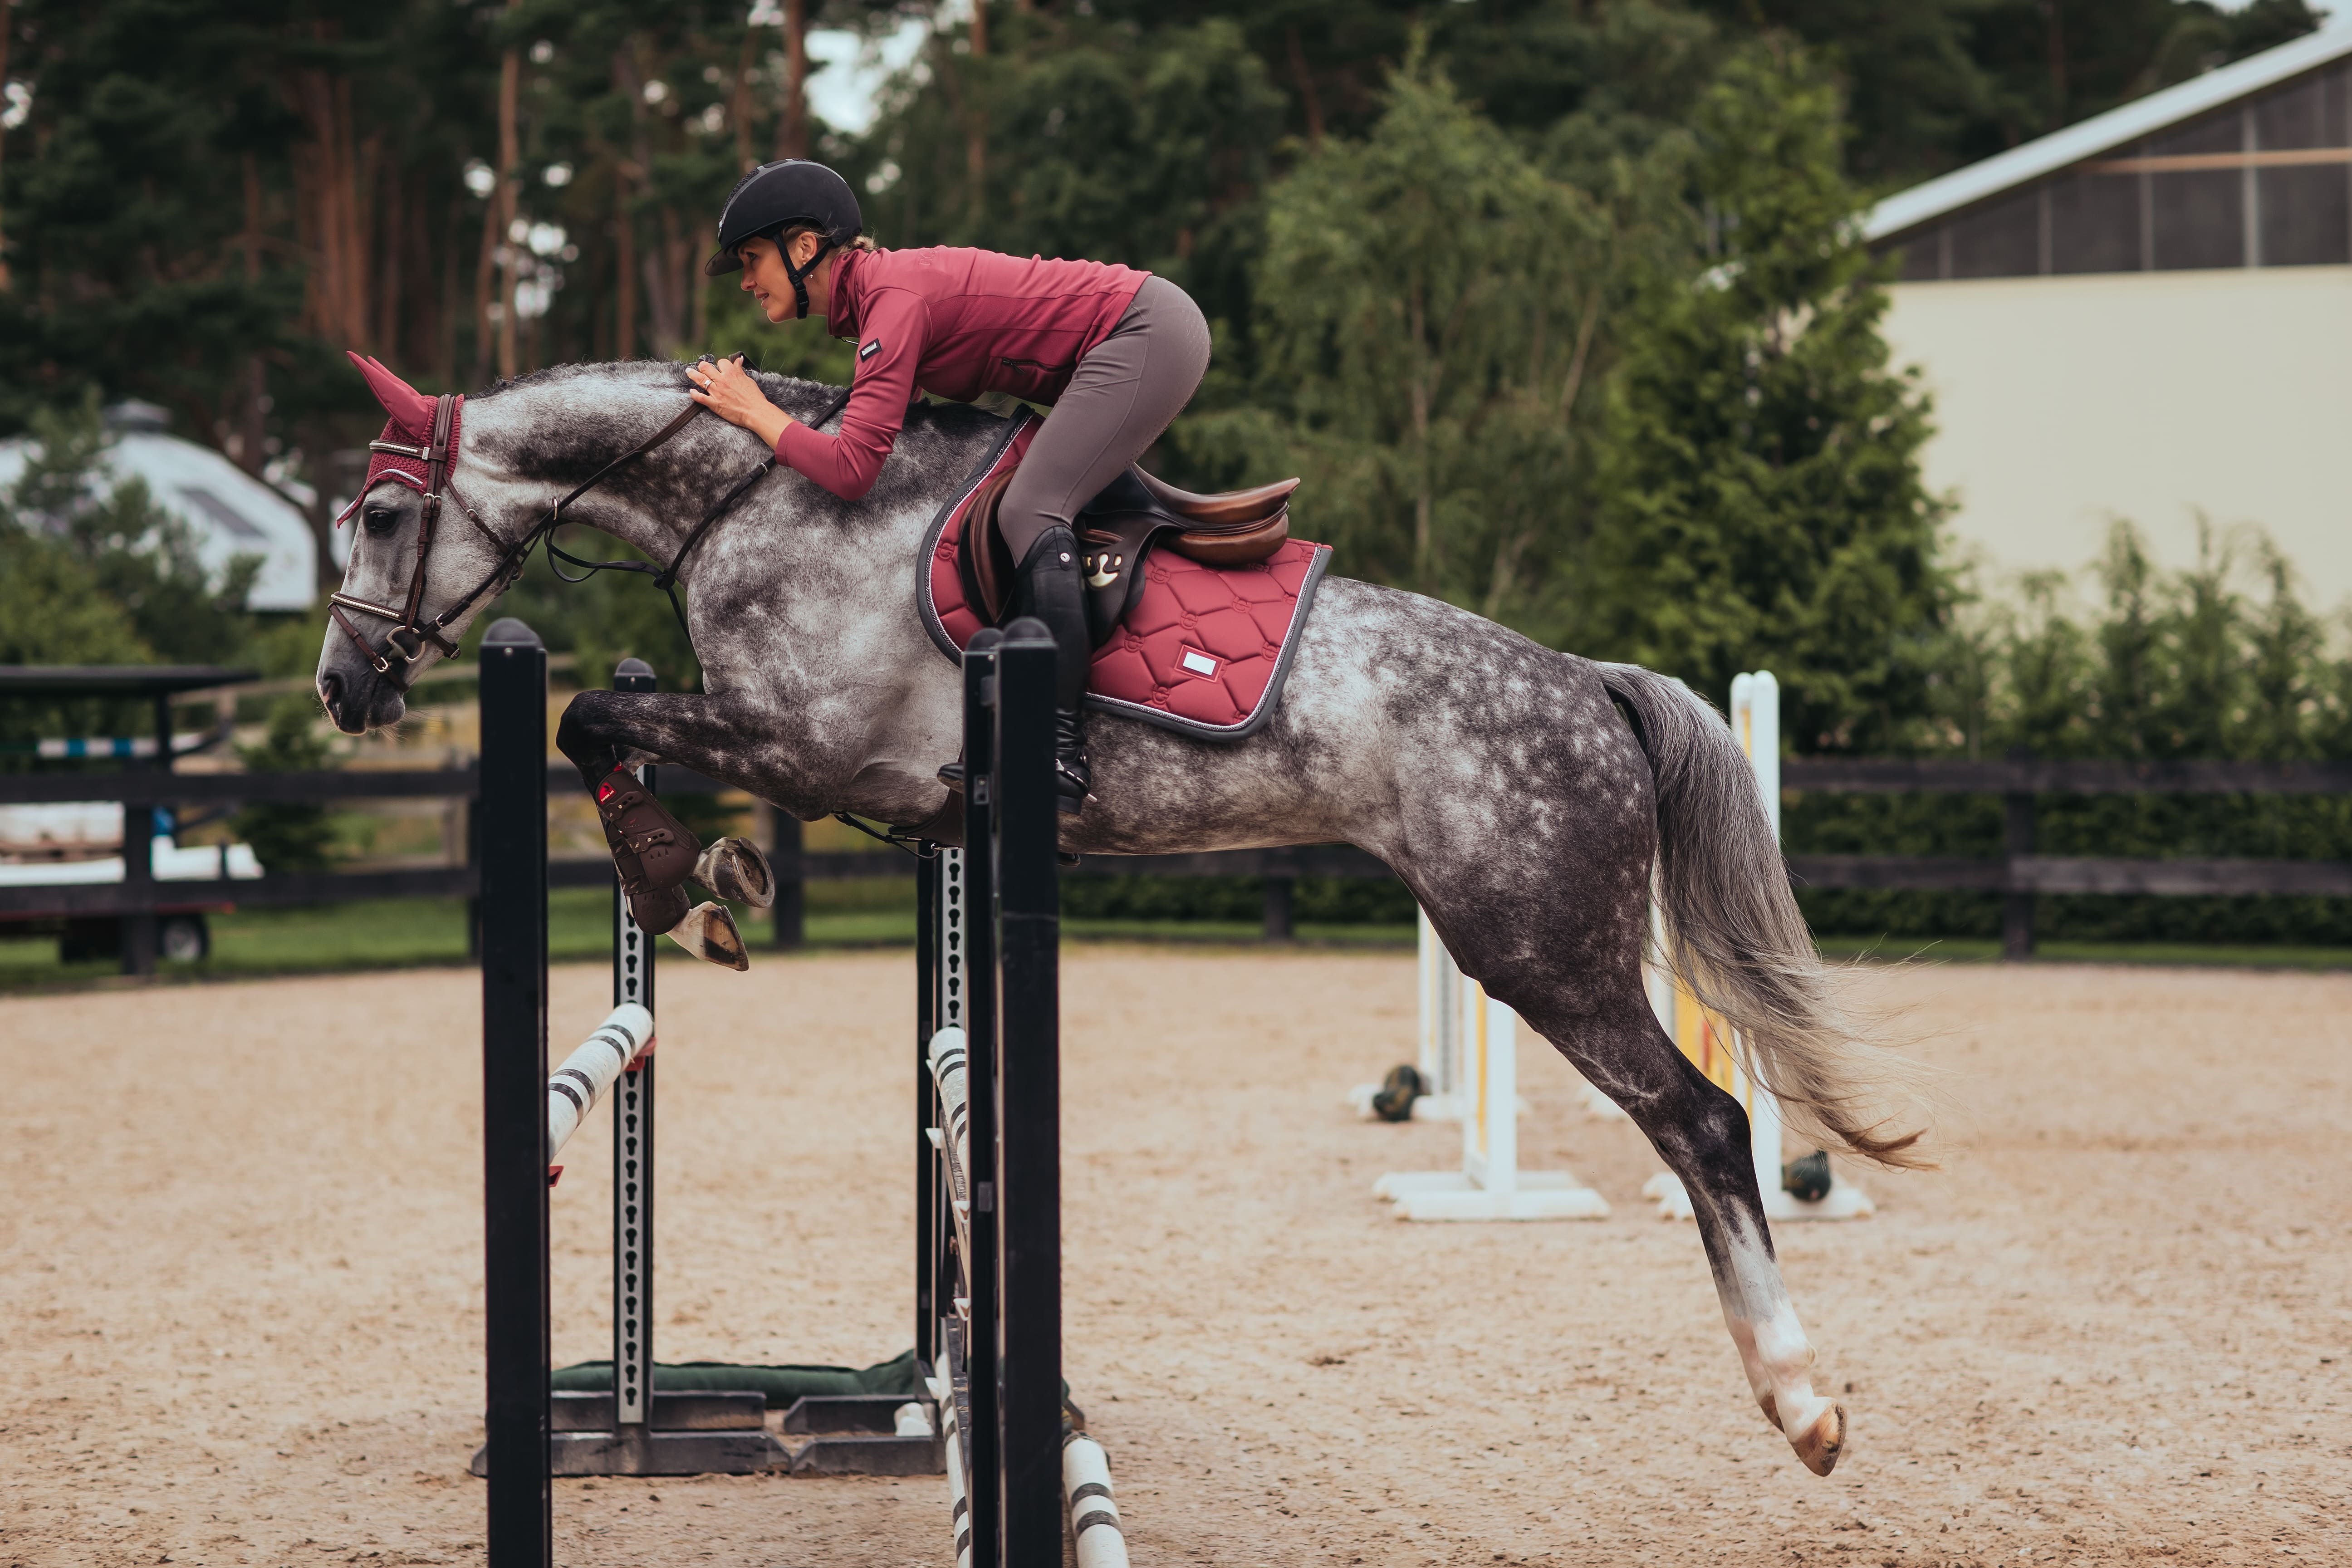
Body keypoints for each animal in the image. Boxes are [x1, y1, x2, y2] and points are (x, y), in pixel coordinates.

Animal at [317, 355, 1928, 1485]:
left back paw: (1802, 1403)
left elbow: (590, 713)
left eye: (383, 517)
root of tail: (1590, 684)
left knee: (1706, 1125)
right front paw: (706, 880)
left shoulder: (809, 747)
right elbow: (610, 725)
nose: (342, 689)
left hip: (1535, 946)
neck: (758, 496)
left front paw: (683, 878)